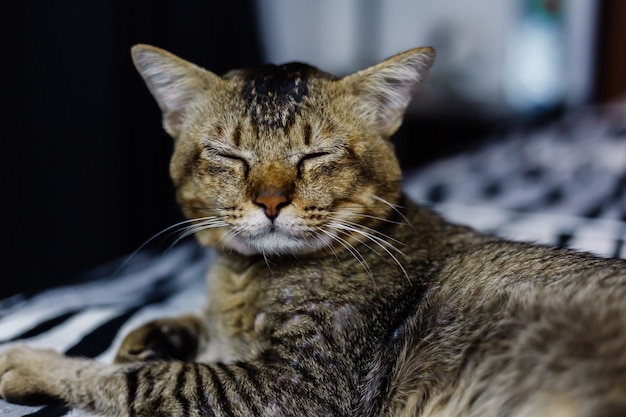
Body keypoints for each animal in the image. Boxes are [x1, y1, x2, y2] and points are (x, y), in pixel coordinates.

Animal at [1, 43, 624, 416]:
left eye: (315, 156)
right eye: (230, 156)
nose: (271, 201)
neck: (244, 276)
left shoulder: (294, 388)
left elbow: (147, 380)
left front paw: (31, 362)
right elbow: (185, 335)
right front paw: (155, 333)